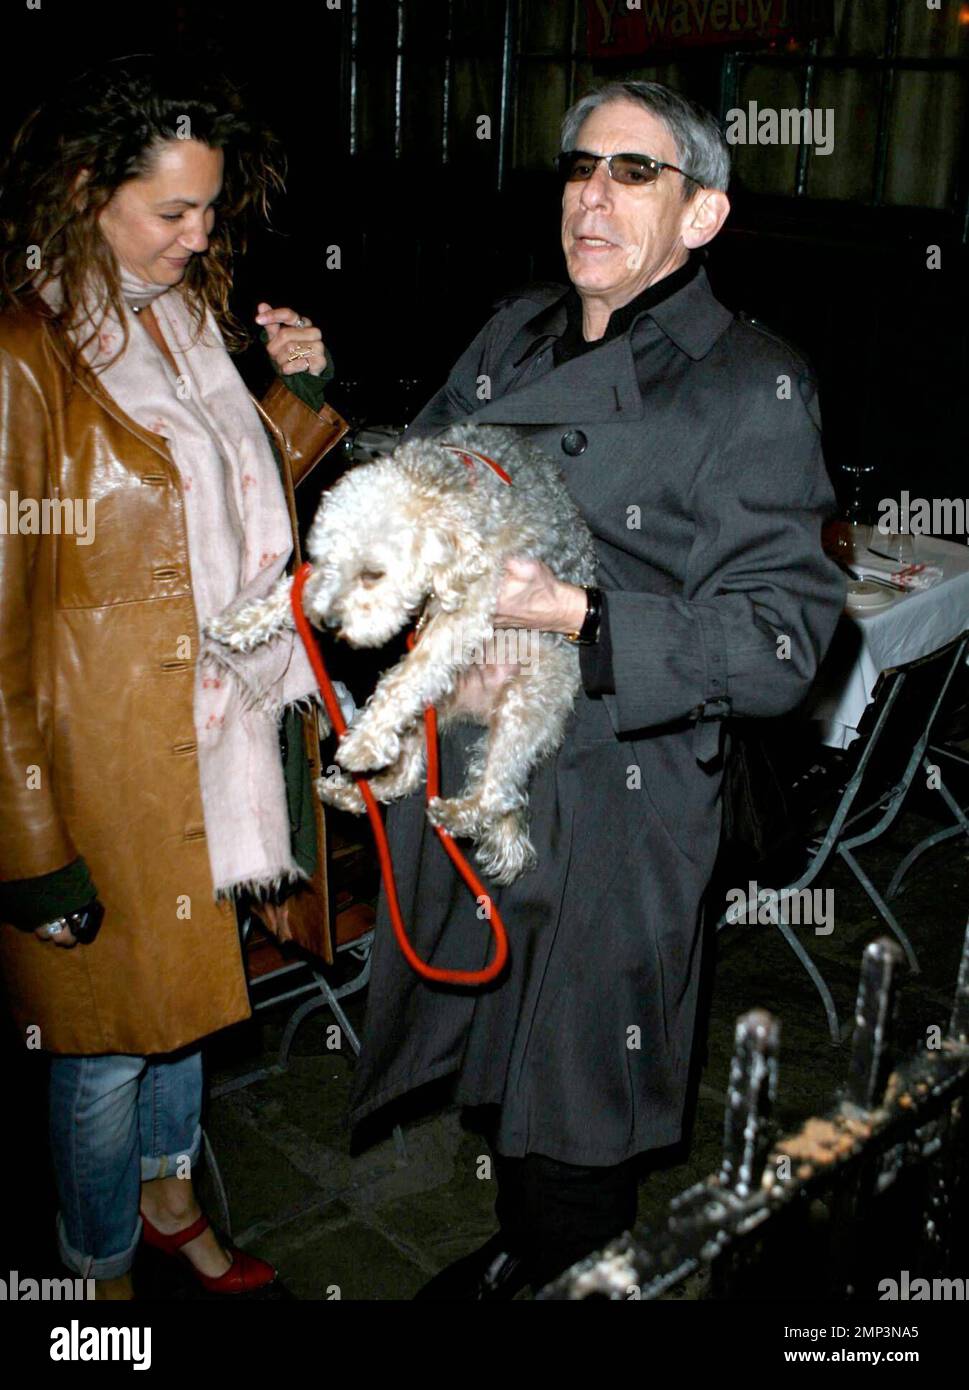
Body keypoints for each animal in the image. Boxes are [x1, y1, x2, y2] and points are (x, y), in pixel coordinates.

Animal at [208, 422, 592, 878]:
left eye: (373, 574)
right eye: (322, 560)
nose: (326, 624)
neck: (448, 484)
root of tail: (481, 710)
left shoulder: (467, 611)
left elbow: (408, 676)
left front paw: (362, 742)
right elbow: (285, 594)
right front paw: (240, 623)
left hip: (521, 706)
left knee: (498, 794)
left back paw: (452, 812)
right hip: (427, 714)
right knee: (408, 776)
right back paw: (349, 792)